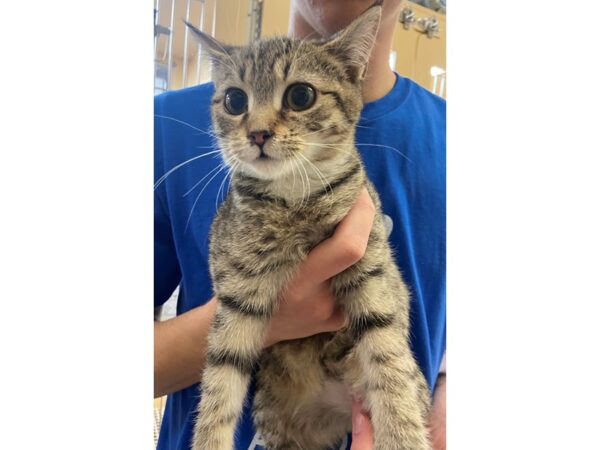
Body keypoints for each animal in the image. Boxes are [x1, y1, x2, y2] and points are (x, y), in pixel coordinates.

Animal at [188, 1, 432, 448]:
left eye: (301, 95)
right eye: (234, 100)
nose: (258, 133)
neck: (292, 201)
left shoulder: (371, 267)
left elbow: (388, 357)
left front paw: (403, 435)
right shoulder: (237, 293)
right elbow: (219, 381)